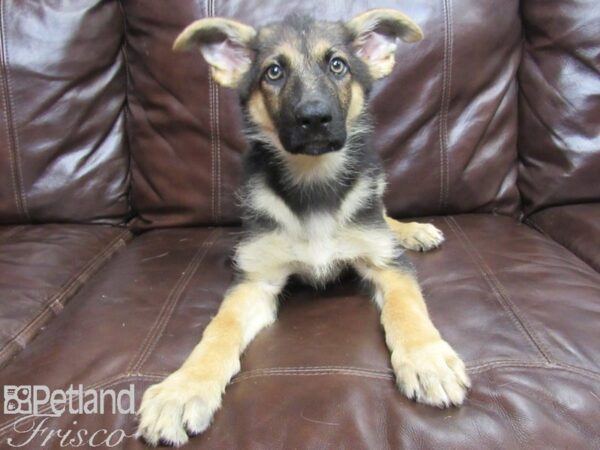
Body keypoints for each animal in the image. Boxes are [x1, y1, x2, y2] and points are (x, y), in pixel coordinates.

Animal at [136, 9, 468, 446]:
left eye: (338, 65)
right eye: (273, 72)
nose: (314, 119)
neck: (313, 181)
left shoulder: (387, 264)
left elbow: (407, 308)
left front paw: (428, 359)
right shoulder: (255, 282)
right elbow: (219, 328)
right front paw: (183, 388)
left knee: (381, 211)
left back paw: (413, 230)